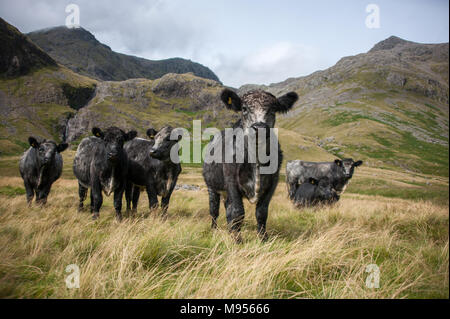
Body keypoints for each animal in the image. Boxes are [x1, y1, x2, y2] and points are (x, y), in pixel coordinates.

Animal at [204, 89, 298, 241]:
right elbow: (238, 212)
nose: (259, 128)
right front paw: (237, 239)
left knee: (227, 209)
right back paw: (214, 229)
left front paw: (263, 238)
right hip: (212, 186)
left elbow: (261, 212)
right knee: (214, 210)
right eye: (244, 108)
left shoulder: (273, 182)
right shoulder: (231, 181)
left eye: (273, 109)